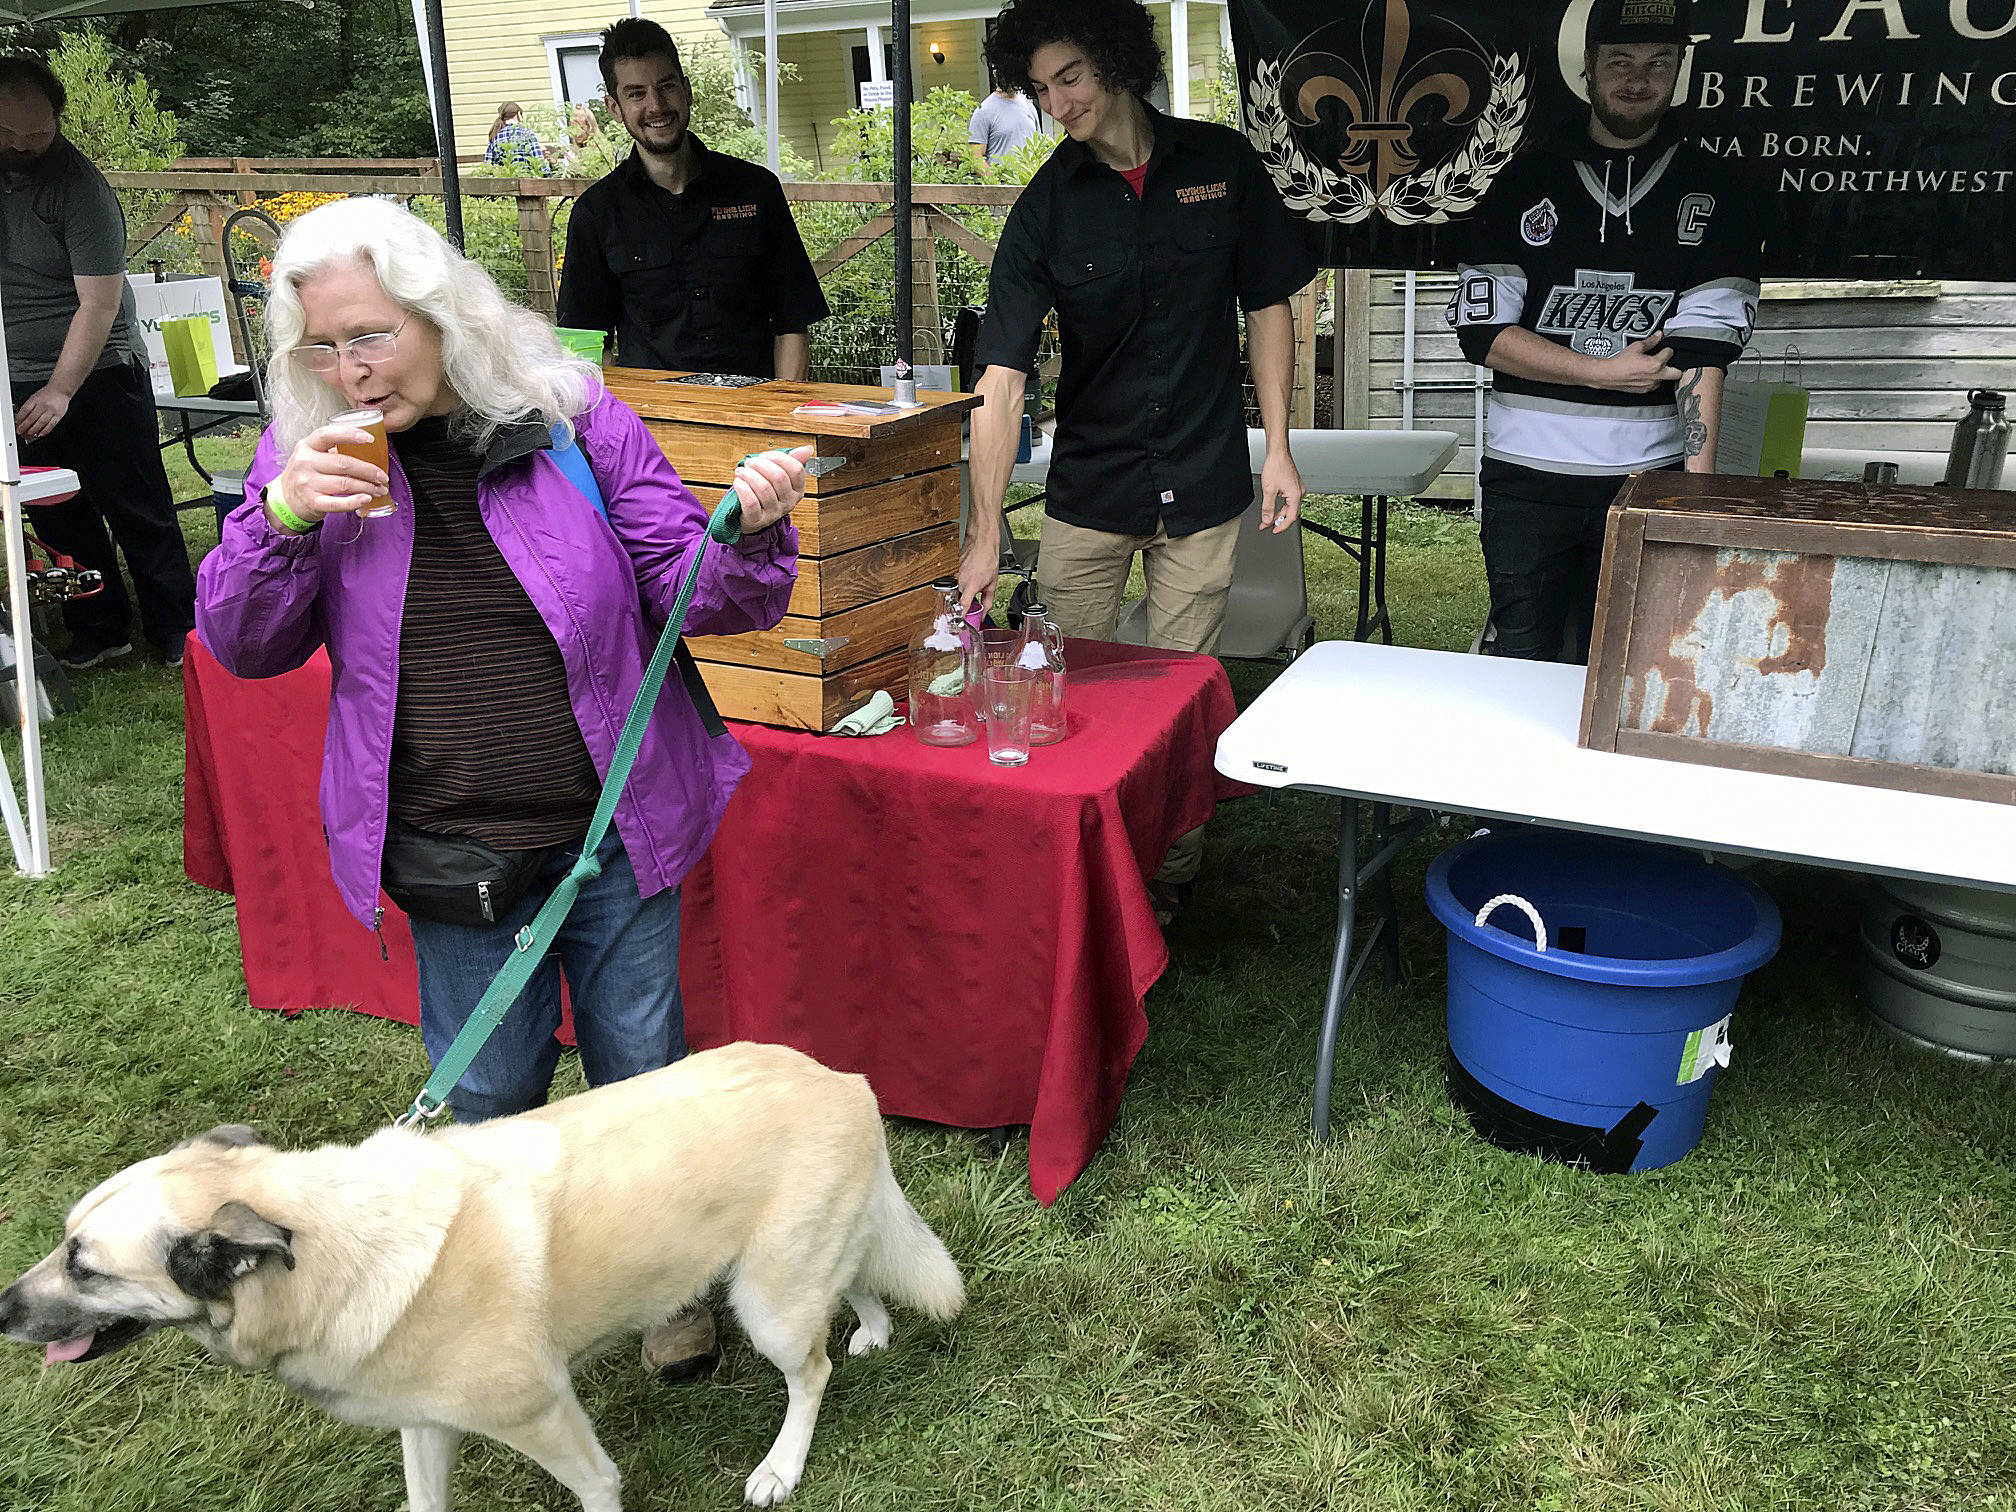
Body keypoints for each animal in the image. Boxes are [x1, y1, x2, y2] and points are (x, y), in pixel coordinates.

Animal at [0, 1048, 967, 1507]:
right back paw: (873, 1326)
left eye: (85, 1268)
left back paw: (780, 1468)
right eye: (64, 1243)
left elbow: (598, 1488)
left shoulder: (544, 1417)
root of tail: (841, 1078)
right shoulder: (426, 1425)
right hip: (786, 1269)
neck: (335, 1252)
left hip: (764, 1302)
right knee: (851, 1282)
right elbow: (426, 1502)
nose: (2, 1308)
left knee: (811, 1371)